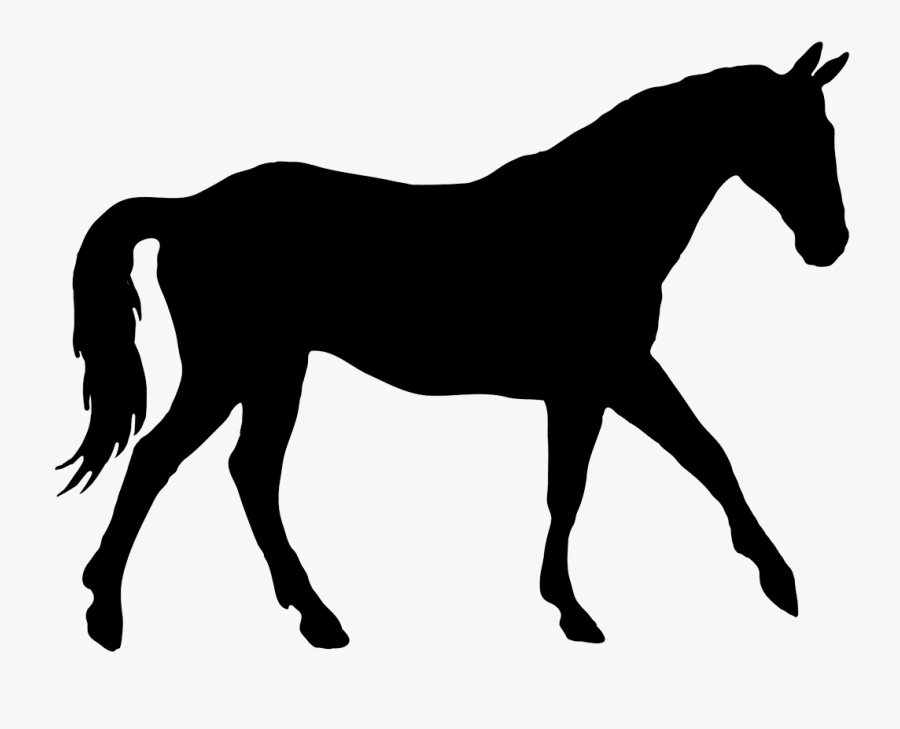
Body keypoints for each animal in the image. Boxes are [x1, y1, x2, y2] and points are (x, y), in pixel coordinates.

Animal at [59, 43, 849, 651]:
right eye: (795, 135)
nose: (830, 242)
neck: (598, 215)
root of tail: (186, 209)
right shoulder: (608, 377)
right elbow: (642, 471)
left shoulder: (595, 385)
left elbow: (666, 463)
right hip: (229, 371)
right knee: (161, 460)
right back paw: (107, 613)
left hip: (275, 372)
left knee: (250, 472)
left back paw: (315, 616)